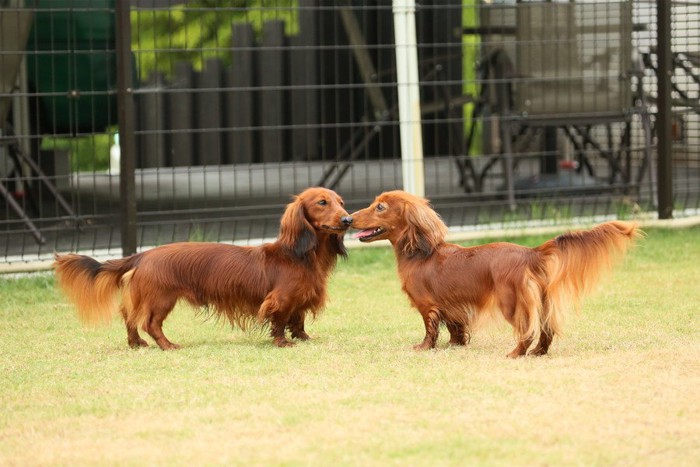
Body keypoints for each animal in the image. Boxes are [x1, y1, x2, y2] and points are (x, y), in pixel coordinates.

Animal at [54, 188, 352, 350]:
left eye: (341, 202)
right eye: (322, 202)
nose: (348, 219)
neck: (300, 255)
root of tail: (143, 254)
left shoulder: (300, 298)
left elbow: (298, 320)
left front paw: (304, 337)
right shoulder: (281, 299)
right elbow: (279, 321)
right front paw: (283, 342)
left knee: (130, 318)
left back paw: (136, 344)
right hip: (161, 299)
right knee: (150, 323)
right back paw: (168, 345)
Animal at [352, 190, 644, 358]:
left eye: (380, 207)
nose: (348, 219)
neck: (422, 252)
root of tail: (531, 253)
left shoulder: (428, 306)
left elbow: (430, 329)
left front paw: (424, 348)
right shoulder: (451, 306)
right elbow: (456, 328)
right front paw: (455, 345)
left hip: (511, 303)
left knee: (527, 331)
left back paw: (516, 353)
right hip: (542, 300)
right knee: (546, 331)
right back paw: (538, 353)